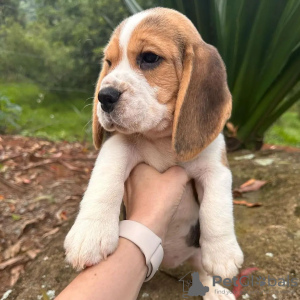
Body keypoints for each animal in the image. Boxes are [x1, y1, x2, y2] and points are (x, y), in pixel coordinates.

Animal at [65, 7, 244, 300]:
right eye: (109, 62)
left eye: (149, 58)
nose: (104, 96)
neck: (162, 141)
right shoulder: (118, 145)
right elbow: (105, 178)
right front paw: (89, 233)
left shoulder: (216, 166)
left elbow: (216, 208)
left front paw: (223, 254)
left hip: (196, 253)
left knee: (203, 270)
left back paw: (215, 289)